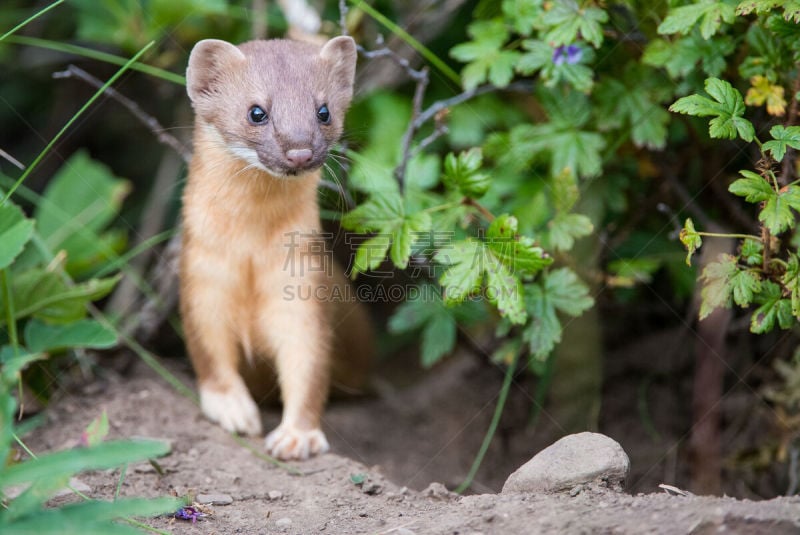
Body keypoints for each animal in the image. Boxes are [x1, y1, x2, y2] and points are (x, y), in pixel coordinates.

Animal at [180, 35, 368, 460]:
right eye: (256, 112)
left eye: (323, 111)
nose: (299, 151)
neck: (250, 254)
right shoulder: (201, 276)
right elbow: (207, 348)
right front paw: (233, 409)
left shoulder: (303, 285)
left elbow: (309, 360)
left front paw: (297, 435)